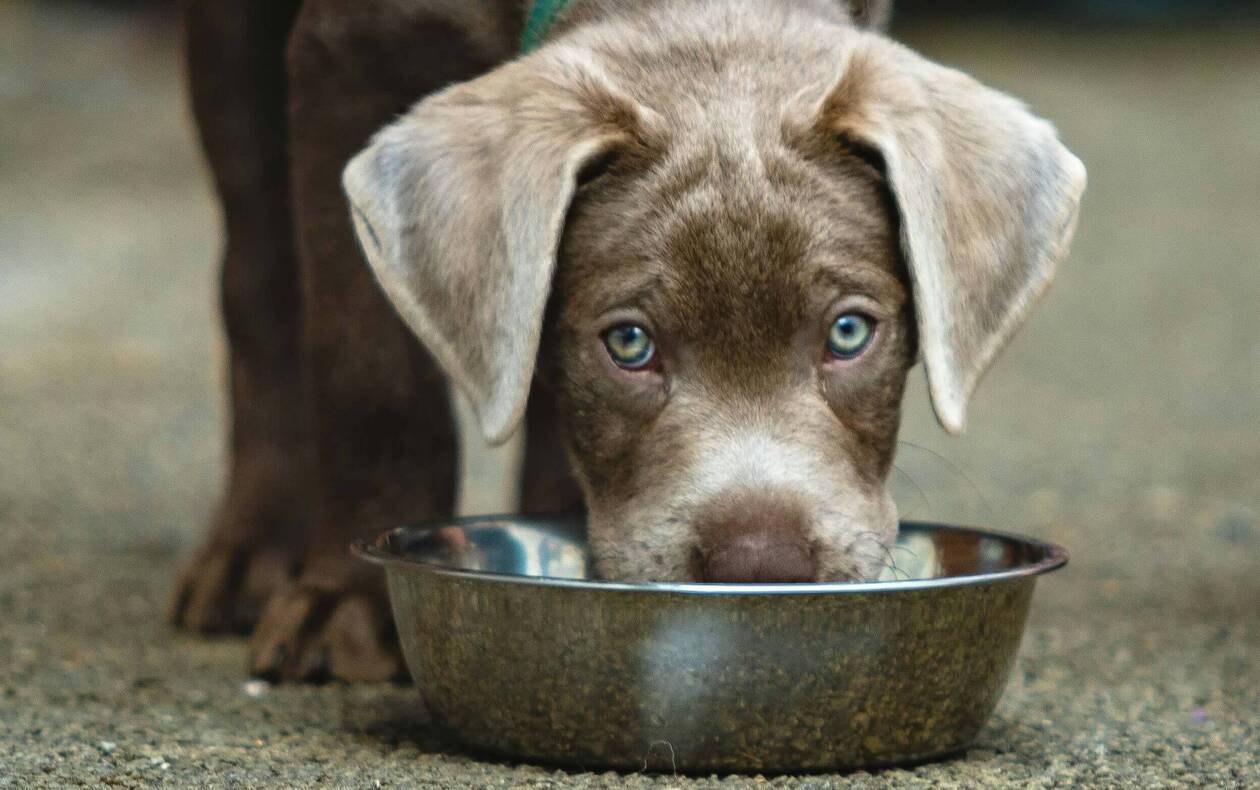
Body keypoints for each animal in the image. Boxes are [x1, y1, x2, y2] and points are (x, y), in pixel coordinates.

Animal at [172, 0, 1088, 680]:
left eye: (849, 332)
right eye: (631, 345)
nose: (760, 564)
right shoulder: (345, 53)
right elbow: (366, 372)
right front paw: (349, 613)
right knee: (256, 275)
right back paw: (251, 555)